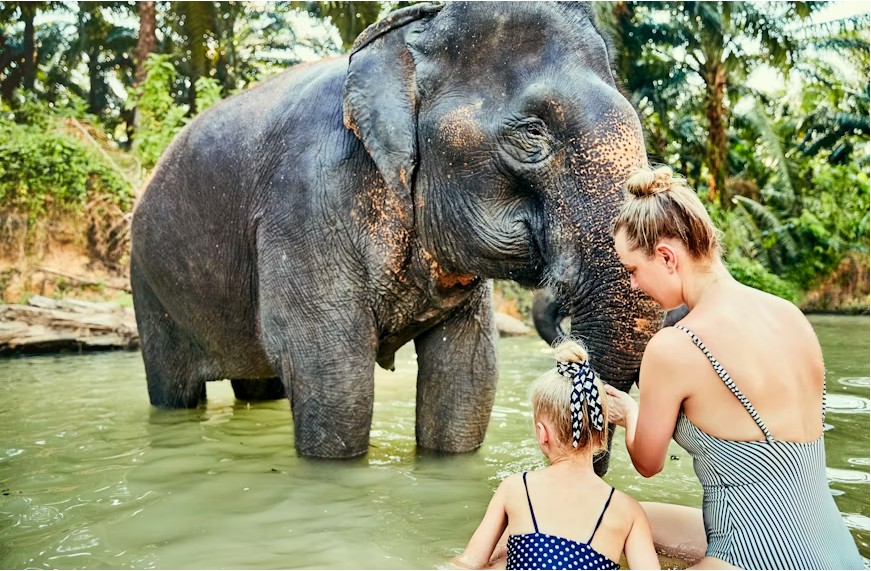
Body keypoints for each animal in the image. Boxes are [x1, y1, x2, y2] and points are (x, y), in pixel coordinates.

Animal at [130, 1, 662, 467]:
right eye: (533, 132)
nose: (590, 459)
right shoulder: (304, 205)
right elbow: (332, 374)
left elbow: (467, 378)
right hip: (149, 286)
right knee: (175, 388)